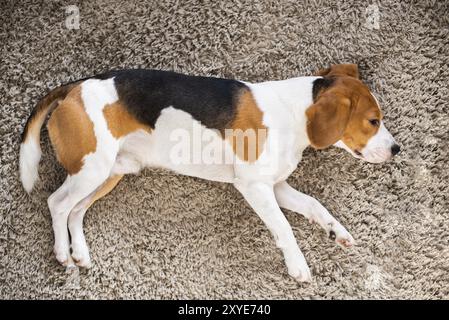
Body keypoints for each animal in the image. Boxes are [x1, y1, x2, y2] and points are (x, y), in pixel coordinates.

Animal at [20, 63, 400, 282]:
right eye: (373, 121)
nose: (397, 149)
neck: (293, 112)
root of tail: (77, 86)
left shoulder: (275, 186)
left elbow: (314, 205)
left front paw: (336, 231)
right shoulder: (254, 186)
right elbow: (284, 228)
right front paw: (298, 266)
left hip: (108, 174)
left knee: (76, 211)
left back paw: (80, 252)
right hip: (91, 168)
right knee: (57, 203)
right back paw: (62, 253)